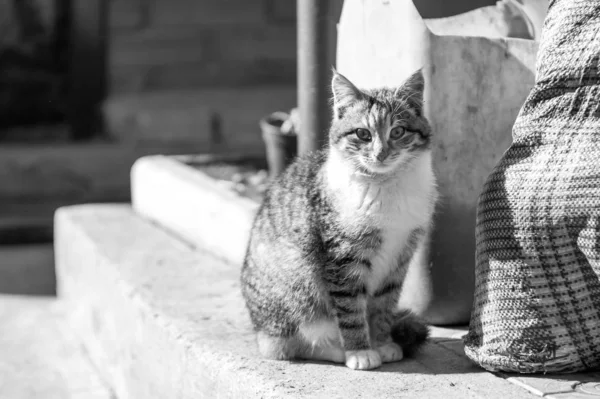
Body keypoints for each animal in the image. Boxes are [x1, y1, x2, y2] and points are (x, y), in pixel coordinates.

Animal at [241, 69, 438, 372]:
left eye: (398, 131)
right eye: (362, 134)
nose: (381, 154)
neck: (384, 185)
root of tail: (257, 327)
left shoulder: (400, 258)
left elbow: (384, 306)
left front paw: (382, 343)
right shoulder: (342, 258)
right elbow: (350, 309)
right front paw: (360, 351)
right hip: (297, 284)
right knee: (285, 345)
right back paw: (336, 350)